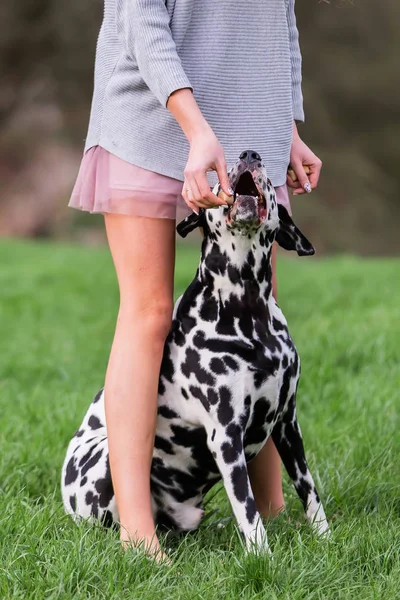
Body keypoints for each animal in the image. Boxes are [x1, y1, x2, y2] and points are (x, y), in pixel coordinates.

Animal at [61, 150, 326, 552]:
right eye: (216, 180)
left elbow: (309, 490)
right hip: (108, 461)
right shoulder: (226, 435)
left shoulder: (286, 422)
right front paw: (263, 556)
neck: (248, 311)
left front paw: (326, 539)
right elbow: (248, 510)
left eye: (266, 177)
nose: (250, 153)